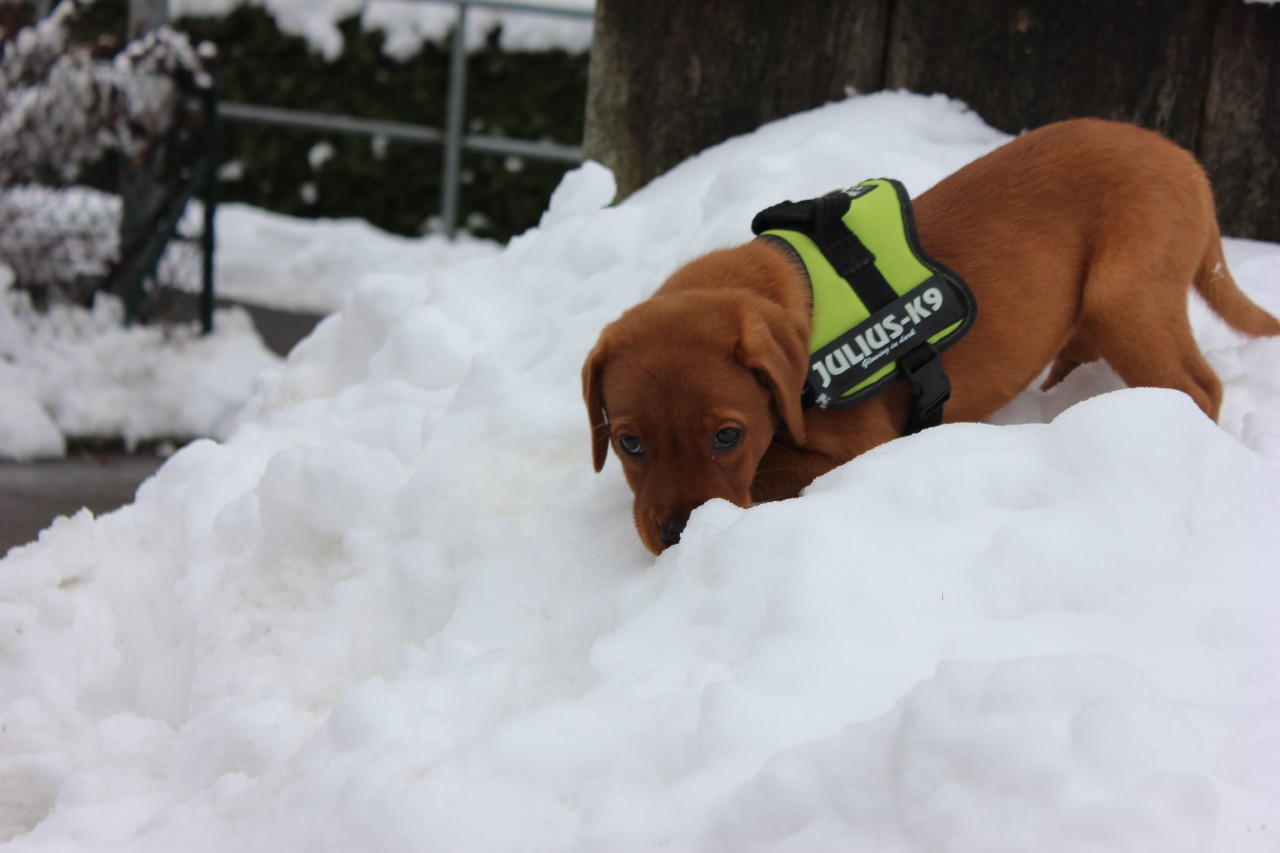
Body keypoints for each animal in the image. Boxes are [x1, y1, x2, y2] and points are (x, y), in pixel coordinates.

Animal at [583, 117, 1280, 550]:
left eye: (727, 436)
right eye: (628, 444)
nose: (676, 537)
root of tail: (1184, 158)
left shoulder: (858, 449)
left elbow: (771, 471)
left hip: (1126, 299)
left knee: (1199, 385)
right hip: (1092, 311)